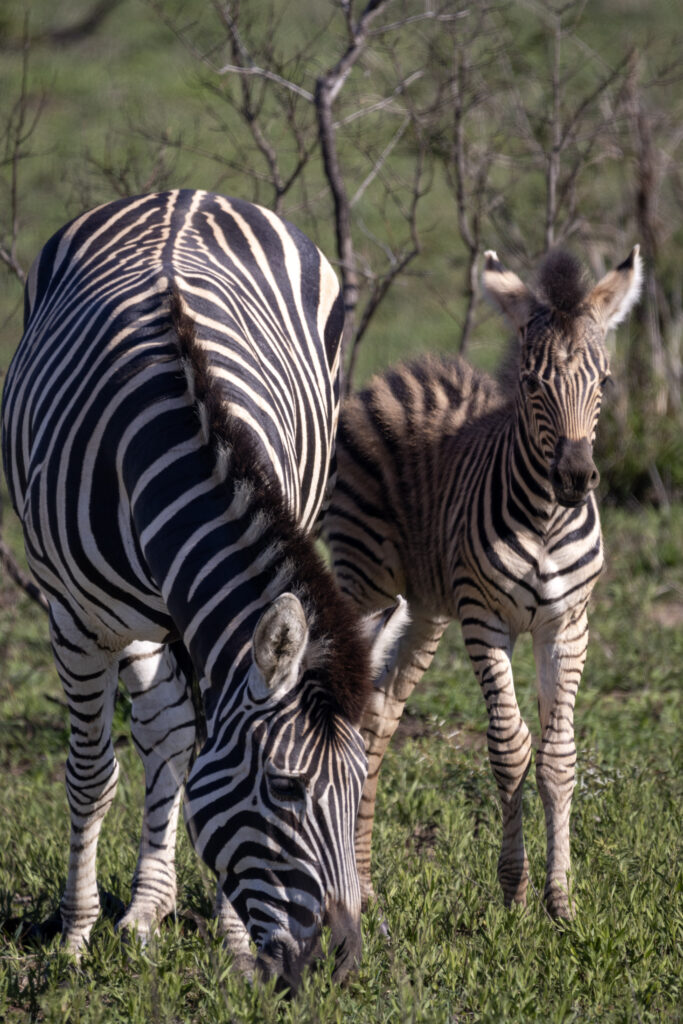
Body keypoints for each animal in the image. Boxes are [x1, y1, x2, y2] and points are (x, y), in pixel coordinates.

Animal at [2, 188, 409, 987]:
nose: (341, 966)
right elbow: (93, 774)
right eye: (285, 788)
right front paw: (75, 936)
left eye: (359, 787)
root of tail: (182, 194)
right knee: (161, 731)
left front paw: (233, 942)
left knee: (172, 732)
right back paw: (138, 910)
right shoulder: (76, 620)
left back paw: (152, 906)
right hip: (129, 619)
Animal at [323, 245, 643, 921]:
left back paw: (365, 887)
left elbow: (557, 756)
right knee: (355, 713)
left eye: (603, 382)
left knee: (380, 720)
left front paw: (560, 901)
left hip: (423, 610)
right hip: (367, 583)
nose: (576, 478)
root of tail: (405, 370)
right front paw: (514, 892)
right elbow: (508, 747)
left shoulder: (566, 624)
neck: (546, 520)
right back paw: (354, 892)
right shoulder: (484, 620)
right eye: (531, 384)